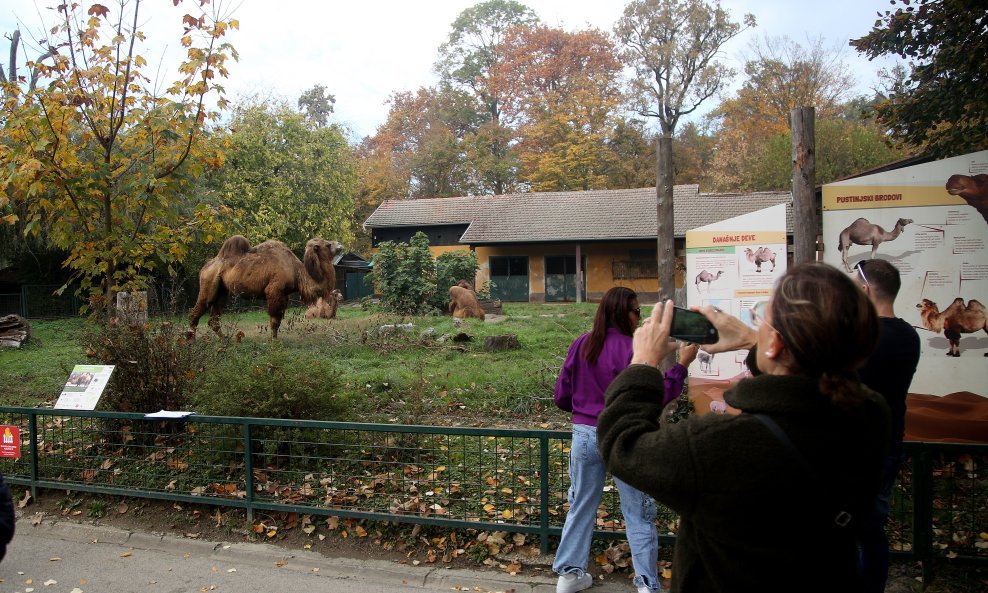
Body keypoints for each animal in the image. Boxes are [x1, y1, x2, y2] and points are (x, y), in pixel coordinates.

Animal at [190, 235, 344, 338]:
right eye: (328, 244)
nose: (340, 245)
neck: (297, 272)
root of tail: (205, 267)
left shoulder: (284, 295)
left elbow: (278, 320)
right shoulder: (274, 291)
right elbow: (274, 321)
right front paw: (274, 343)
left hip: (222, 290)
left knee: (214, 319)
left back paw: (225, 340)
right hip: (209, 282)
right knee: (198, 311)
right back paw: (190, 341)